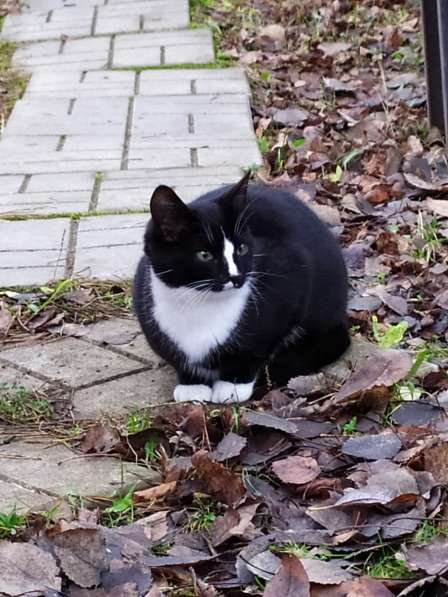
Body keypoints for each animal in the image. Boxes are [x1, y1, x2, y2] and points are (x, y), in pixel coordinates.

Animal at [133, 172, 350, 406]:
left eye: (242, 248)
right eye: (204, 255)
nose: (236, 277)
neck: (197, 303)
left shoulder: (290, 278)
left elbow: (255, 348)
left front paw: (233, 385)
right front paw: (192, 385)